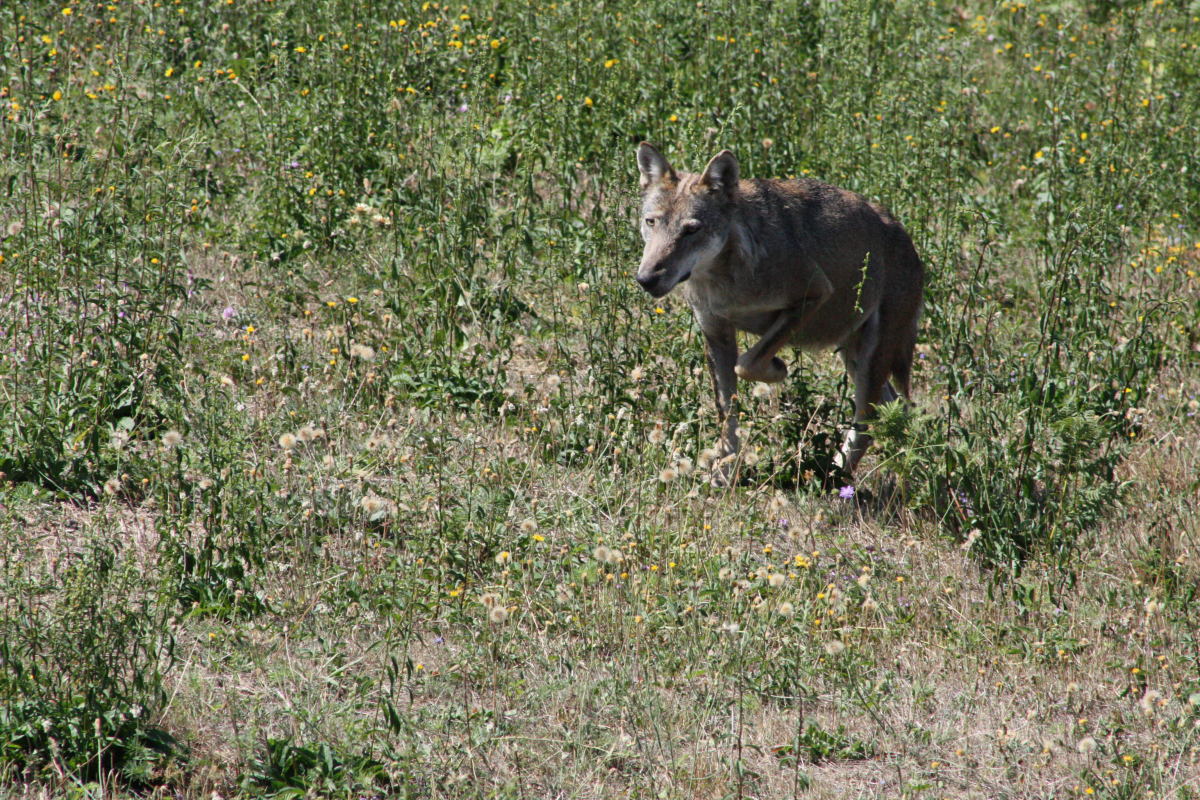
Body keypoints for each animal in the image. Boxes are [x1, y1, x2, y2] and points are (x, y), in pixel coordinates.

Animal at [634, 143, 924, 482]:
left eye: (691, 230)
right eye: (651, 222)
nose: (646, 279)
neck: (727, 278)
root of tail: (905, 236)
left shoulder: (813, 296)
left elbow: (747, 364)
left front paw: (777, 369)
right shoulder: (716, 333)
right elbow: (727, 414)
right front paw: (725, 472)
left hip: (869, 359)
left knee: (867, 423)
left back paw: (836, 477)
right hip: (854, 355)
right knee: (891, 412)